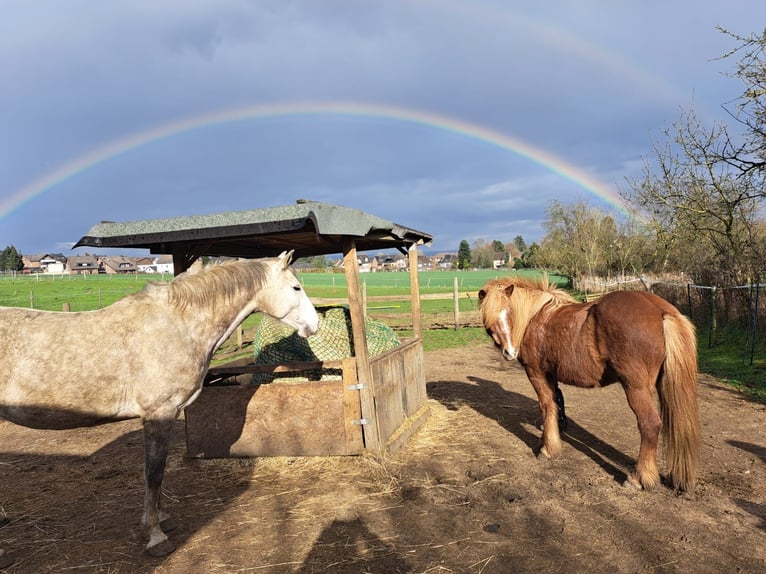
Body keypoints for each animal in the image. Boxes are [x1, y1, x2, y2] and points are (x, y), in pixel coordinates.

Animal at [0, 251, 318, 560]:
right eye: (296, 287)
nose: (314, 325)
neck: (176, 325)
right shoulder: (159, 414)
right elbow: (154, 473)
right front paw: (155, 536)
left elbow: (157, 475)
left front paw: (161, 518)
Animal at [480, 276, 704, 492]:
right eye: (491, 319)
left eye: (508, 312)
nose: (510, 352)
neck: (534, 318)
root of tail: (661, 310)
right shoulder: (551, 374)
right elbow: (557, 400)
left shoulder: (536, 373)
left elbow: (547, 406)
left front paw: (548, 449)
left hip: (636, 389)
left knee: (650, 424)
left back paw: (639, 479)